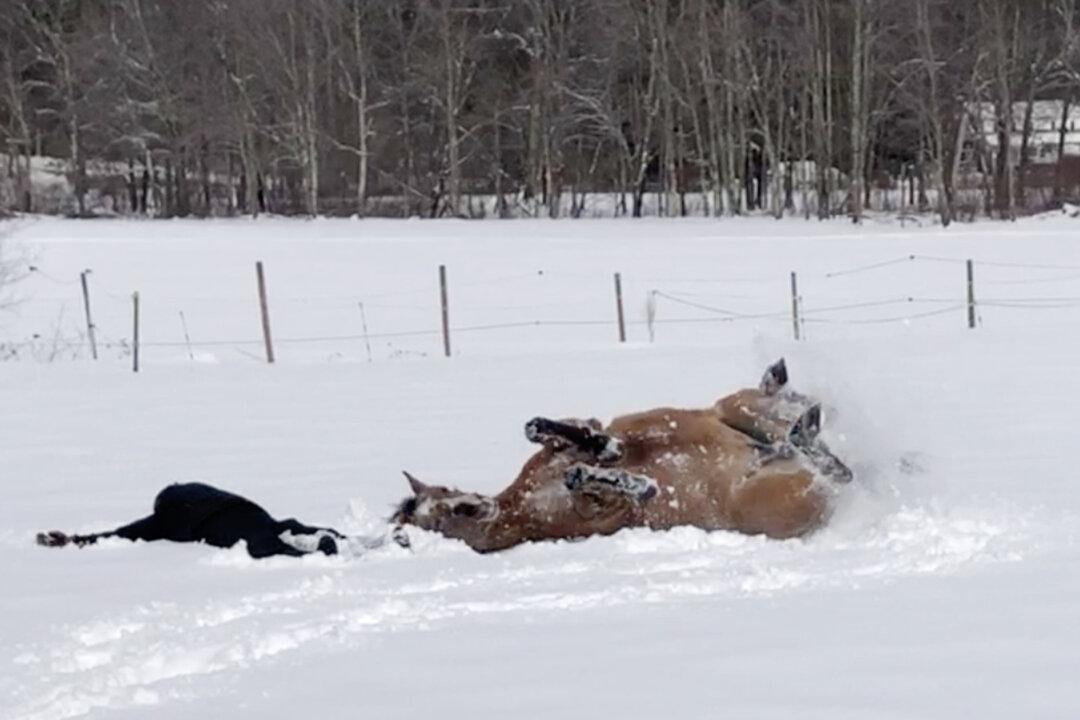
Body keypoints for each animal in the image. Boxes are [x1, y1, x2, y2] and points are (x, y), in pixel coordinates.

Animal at [391, 359, 852, 553]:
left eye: (444, 497)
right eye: (437, 522)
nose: (475, 506)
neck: (521, 506)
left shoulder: (572, 442)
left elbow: (548, 430)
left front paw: (598, 444)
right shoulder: (605, 511)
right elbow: (598, 479)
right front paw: (634, 480)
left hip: (737, 406)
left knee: (798, 428)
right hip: (785, 494)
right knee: (819, 463)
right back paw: (803, 439)